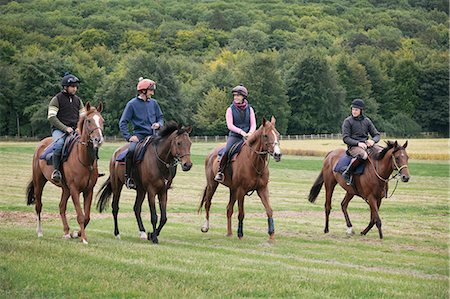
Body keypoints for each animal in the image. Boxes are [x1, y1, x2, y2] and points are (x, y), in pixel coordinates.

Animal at [25, 102, 104, 245]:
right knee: (39, 206)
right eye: (89, 121)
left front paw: (76, 234)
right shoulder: (74, 189)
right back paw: (39, 232)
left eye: (102, 121)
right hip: (39, 183)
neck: (84, 159)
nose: (98, 139)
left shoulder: (88, 190)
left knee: (61, 207)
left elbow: (87, 217)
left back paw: (67, 232)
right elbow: (80, 215)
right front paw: (84, 239)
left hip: (65, 189)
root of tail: (41, 145)